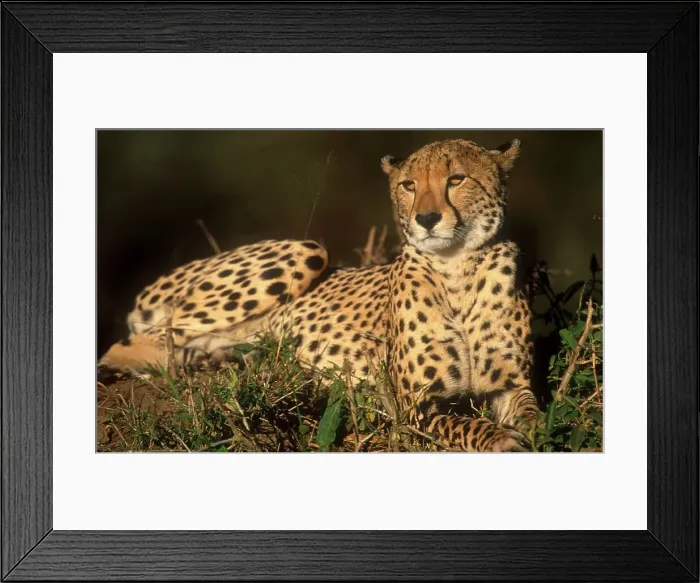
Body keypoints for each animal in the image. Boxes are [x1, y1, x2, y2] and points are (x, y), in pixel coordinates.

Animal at [99, 138, 539, 451]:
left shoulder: (513, 385)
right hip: (306, 251)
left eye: (457, 179)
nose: (426, 219)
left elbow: (535, 413)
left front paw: (530, 433)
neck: (456, 269)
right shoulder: (416, 405)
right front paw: (500, 439)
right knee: (136, 343)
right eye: (409, 185)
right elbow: (464, 423)